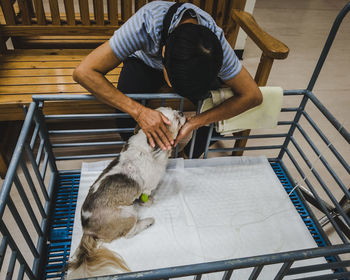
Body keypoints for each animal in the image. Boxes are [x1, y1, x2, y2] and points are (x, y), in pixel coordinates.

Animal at [66, 106, 185, 278]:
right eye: (176, 119)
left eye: (174, 110)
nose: (182, 113)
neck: (147, 146)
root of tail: (87, 229)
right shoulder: (147, 187)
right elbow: (145, 197)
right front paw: (149, 202)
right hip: (127, 213)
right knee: (129, 233)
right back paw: (147, 222)